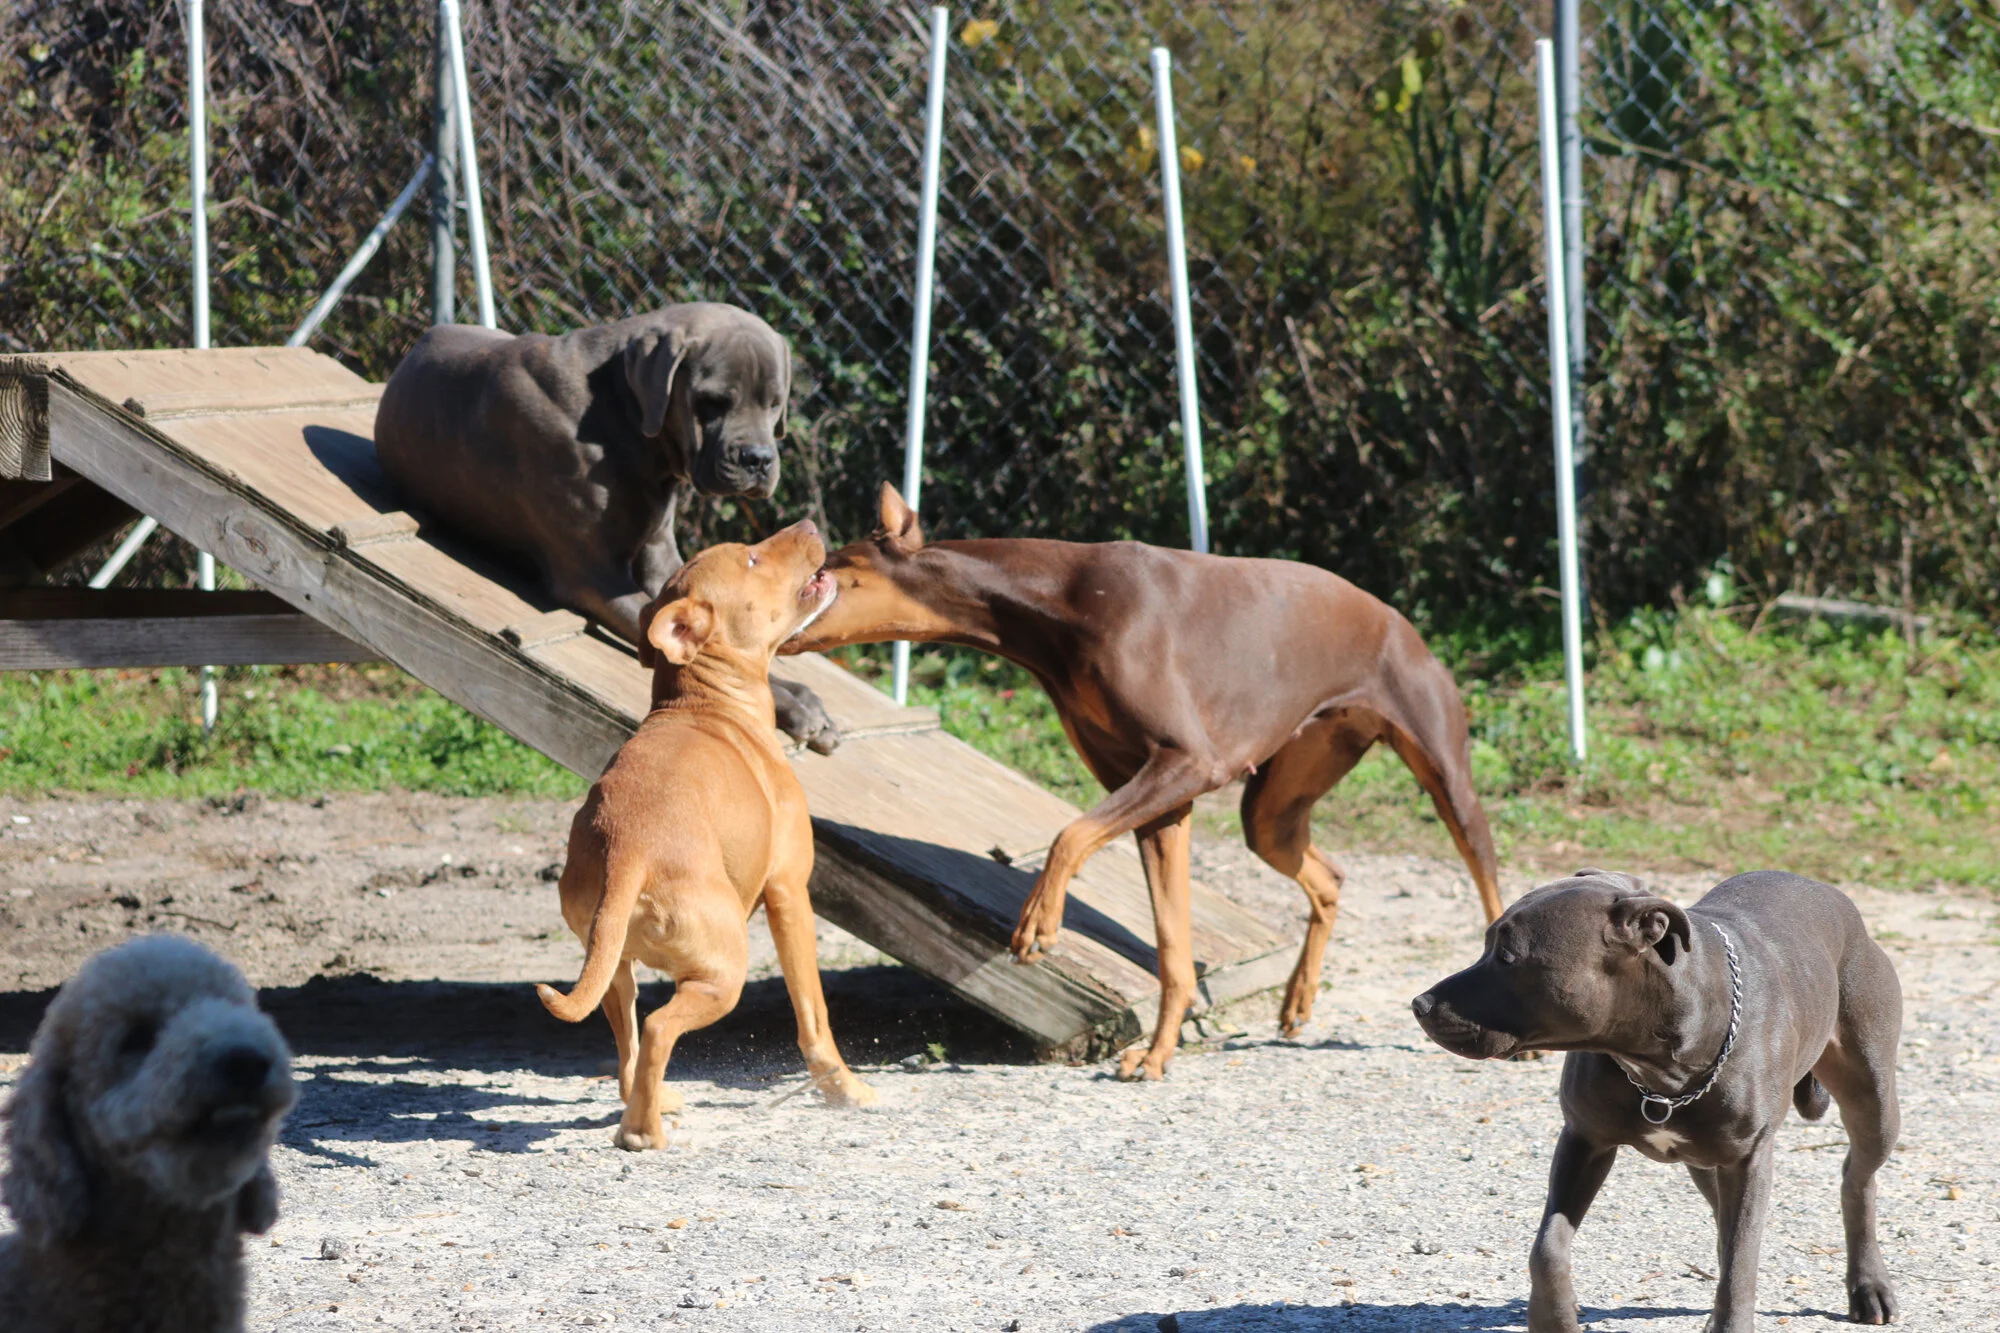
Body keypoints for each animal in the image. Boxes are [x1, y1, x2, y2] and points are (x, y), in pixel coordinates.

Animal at [374, 303, 837, 753]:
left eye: (775, 403)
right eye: (713, 401)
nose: (758, 458)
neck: (625, 422)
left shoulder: (662, 559)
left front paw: (797, 693)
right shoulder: (595, 578)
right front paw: (794, 706)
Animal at [536, 519, 876, 1149]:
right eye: (752, 558)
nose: (808, 525)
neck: (704, 698)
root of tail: (626, 847)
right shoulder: (790, 894)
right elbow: (814, 1017)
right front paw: (846, 1091)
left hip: (613, 967)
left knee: (629, 1046)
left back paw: (650, 1107)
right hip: (725, 974)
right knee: (659, 1027)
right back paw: (642, 1132)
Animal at [783, 483, 1503, 1080]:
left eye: (828, 570)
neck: (1055, 603)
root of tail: (1398, 619)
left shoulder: (1188, 763)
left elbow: (1068, 835)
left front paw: (1039, 923)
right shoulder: (1159, 801)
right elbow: (1173, 949)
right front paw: (1157, 1054)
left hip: (1446, 774)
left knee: (1488, 880)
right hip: (1275, 807)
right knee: (1326, 876)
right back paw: (1296, 1001)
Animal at [1412, 868, 1901, 1332]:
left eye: (1507, 956)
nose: (1420, 1004)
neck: (1654, 1060)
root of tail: (1832, 895)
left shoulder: (1749, 1159)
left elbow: (1741, 1264)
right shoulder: (1584, 1140)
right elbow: (1548, 1248)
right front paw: (1554, 1319)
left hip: (1873, 1101)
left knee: (1856, 1180)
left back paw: (1869, 1286)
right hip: (1705, 1161)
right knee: (1725, 1222)